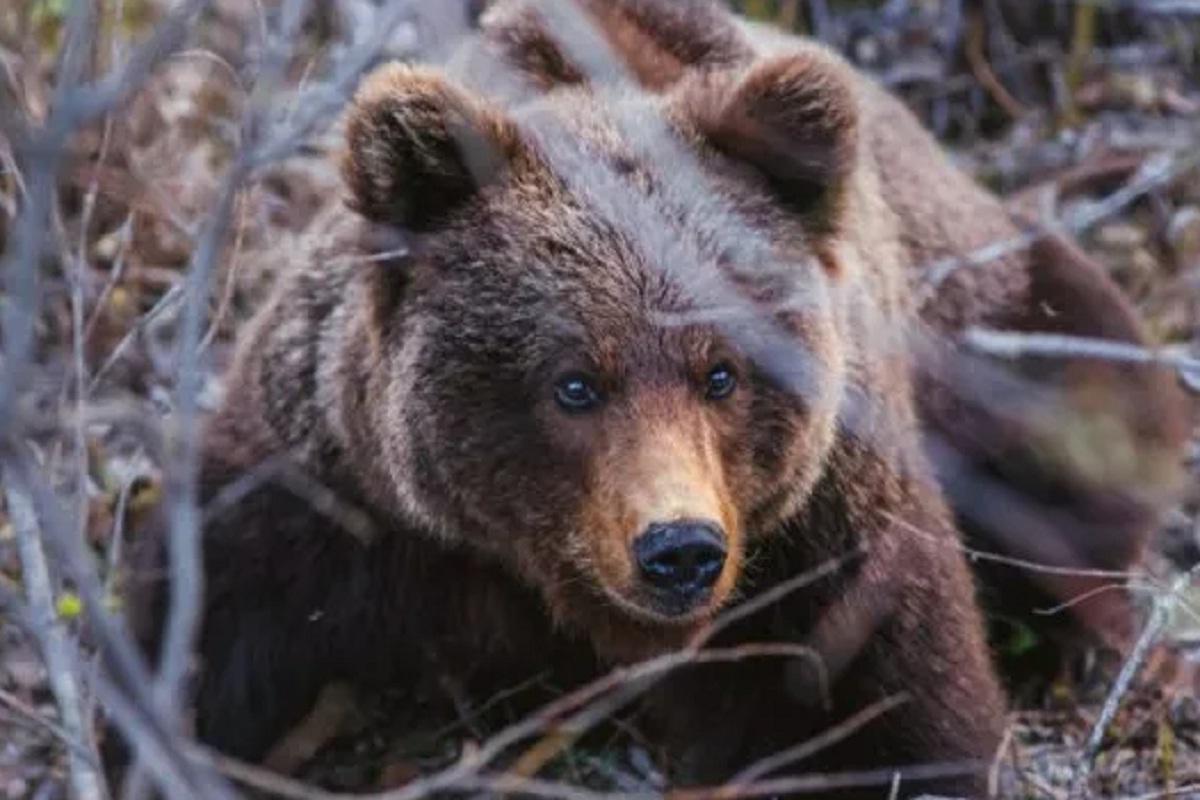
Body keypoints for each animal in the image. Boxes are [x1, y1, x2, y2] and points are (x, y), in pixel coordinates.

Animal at [117, 3, 1185, 796]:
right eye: (574, 383)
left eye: (722, 373)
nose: (680, 550)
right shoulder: (333, 500)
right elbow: (209, 641)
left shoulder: (817, 545)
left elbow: (878, 718)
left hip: (1002, 324)